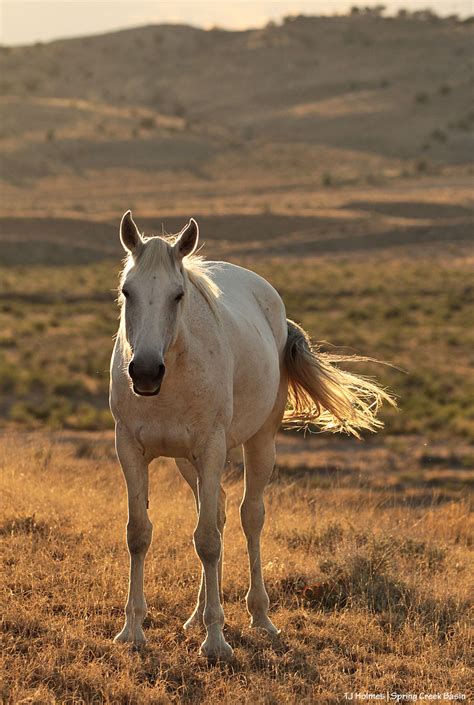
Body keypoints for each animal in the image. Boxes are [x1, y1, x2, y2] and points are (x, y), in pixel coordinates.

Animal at [109, 210, 394, 660]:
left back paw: (260, 617)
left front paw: (216, 640)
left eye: (178, 295)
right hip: (187, 462)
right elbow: (140, 533)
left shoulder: (211, 449)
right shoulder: (131, 449)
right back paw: (196, 615)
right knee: (218, 513)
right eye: (127, 291)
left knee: (249, 516)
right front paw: (133, 630)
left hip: (260, 442)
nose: (146, 372)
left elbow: (208, 540)